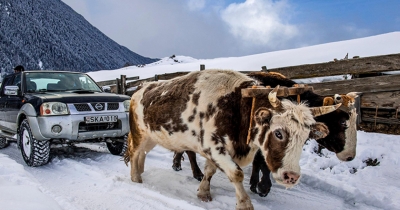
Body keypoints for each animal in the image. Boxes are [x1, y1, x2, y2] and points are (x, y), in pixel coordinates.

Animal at [124, 69, 338, 209]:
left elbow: (210, 171)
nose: (291, 176)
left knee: (142, 154)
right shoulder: (213, 146)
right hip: (139, 133)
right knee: (134, 152)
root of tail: (139, 90)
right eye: (279, 133)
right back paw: (135, 178)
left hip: (152, 137)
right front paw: (244, 204)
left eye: (305, 138)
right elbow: (236, 174)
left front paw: (203, 192)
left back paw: (140, 172)